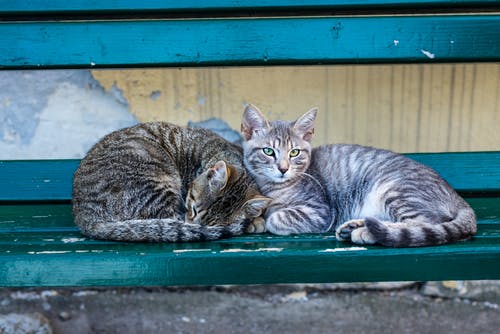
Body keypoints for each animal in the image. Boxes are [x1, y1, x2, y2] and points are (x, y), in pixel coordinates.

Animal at [71, 121, 270, 241]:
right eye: (194, 209)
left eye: (213, 223)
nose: (196, 226)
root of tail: (84, 217)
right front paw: (255, 221)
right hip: (157, 184)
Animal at [241, 105, 476, 248]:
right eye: (268, 151)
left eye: (294, 152)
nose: (283, 168)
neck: (274, 189)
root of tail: (455, 195)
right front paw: (256, 219)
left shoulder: (320, 212)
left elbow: (278, 218)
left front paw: (269, 217)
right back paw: (354, 227)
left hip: (398, 190)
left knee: (424, 223)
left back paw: (368, 232)